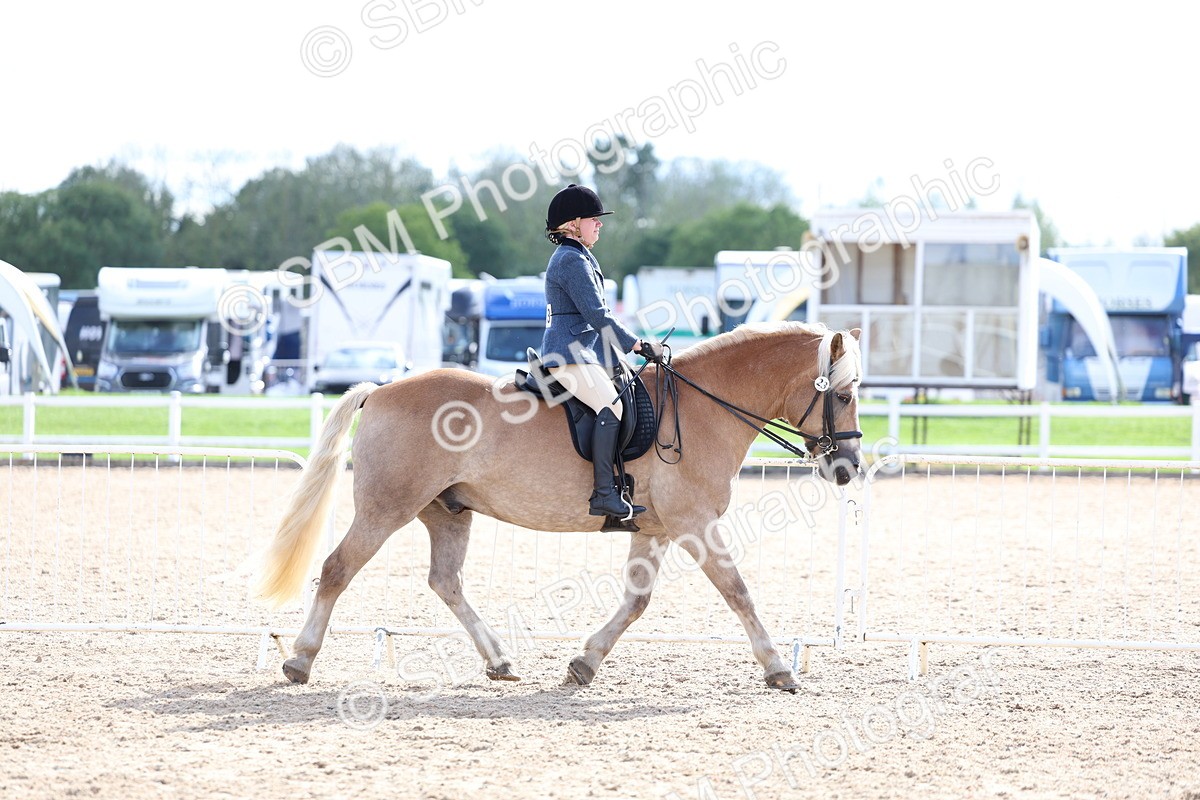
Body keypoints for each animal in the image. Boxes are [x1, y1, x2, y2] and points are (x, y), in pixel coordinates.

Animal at [254, 321, 863, 692]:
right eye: (844, 394)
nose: (848, 467)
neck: (701, 408)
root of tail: (380, 390)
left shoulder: (656, 529)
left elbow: (636, 602)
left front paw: (584, 663)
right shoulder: (695, 524)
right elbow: (738, 591)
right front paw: (779, 668)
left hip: (447, 512)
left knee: (445, 582)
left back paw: (500, 660)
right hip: (386, 509)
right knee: (337, 569)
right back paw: (299, 660)